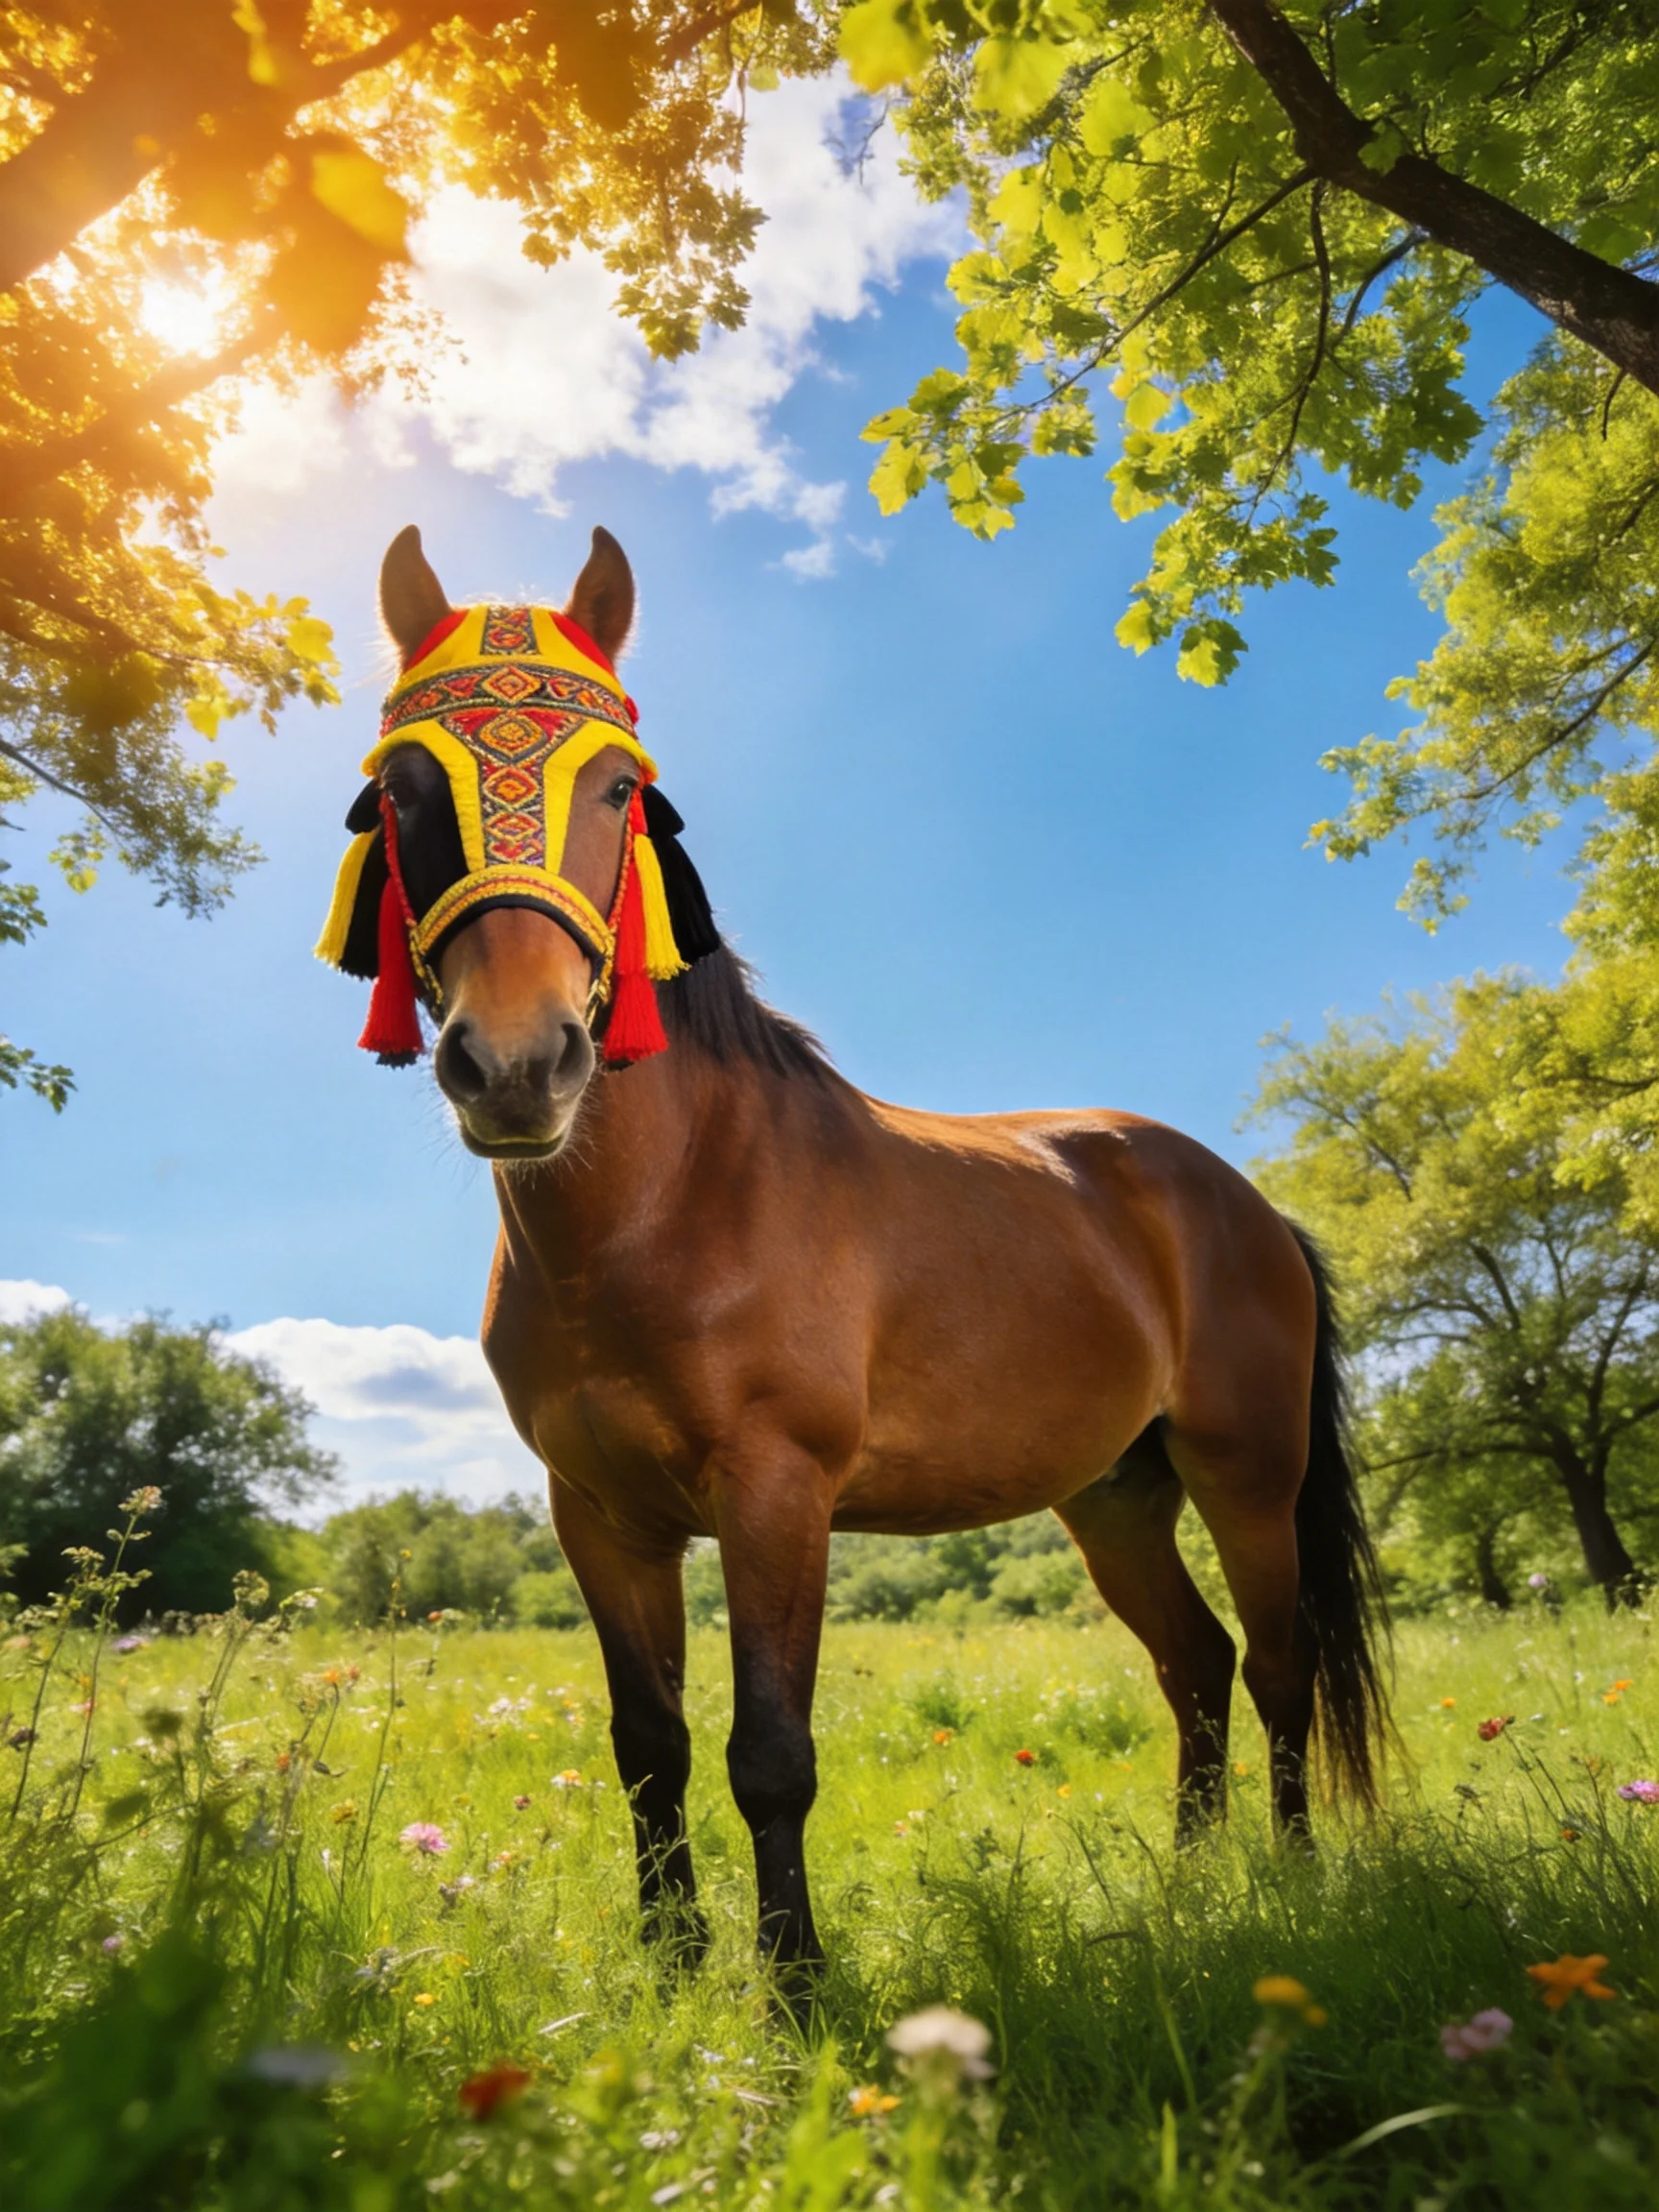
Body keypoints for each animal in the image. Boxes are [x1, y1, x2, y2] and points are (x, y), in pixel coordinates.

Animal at [330, 522, 1388, 1978]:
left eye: (618, 788)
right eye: (402, 788)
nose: (518, 1064)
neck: (668, 1212)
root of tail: (1247, 1206)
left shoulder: (779, 1496)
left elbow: (770, 1753)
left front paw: (793, 1985)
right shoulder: (599, 1516)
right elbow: (648, 1744)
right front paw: (674, 1967)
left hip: (1247, 1479)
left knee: (1278, 1669)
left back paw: (1287, 1885)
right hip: (1116, 1497)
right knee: (1199, 1666)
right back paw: (1193, 1884)